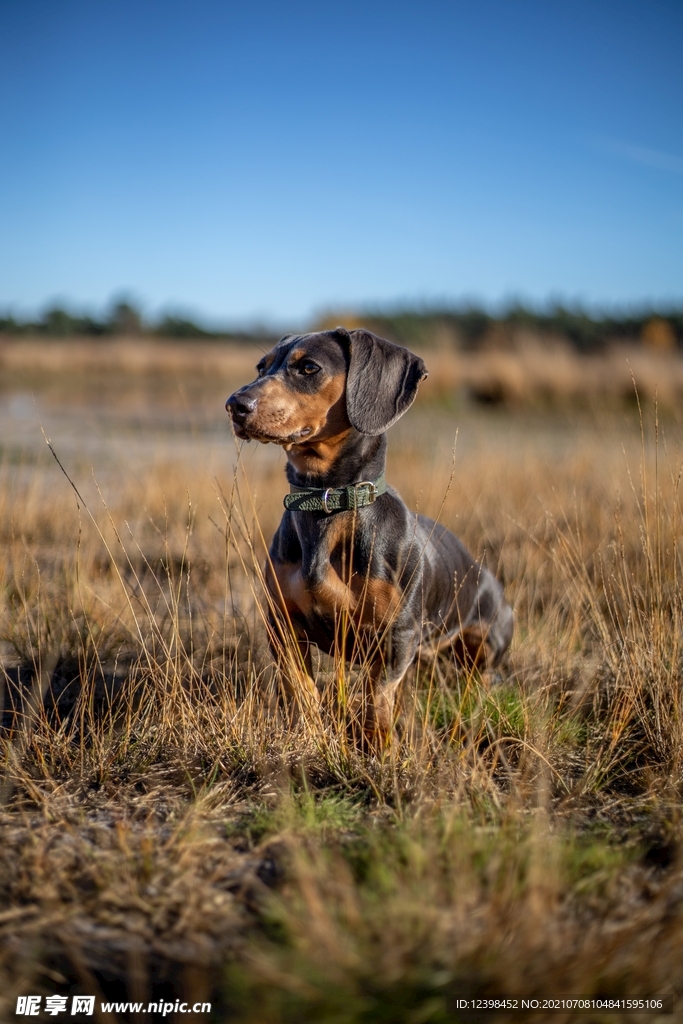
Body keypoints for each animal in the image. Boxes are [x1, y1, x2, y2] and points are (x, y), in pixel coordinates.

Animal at [225, 331, 511, 741]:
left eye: (308, 367)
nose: (235, 405)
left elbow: (375, 701)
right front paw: (311, 737)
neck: (328, 504)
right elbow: (302, 691)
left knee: (480, 678)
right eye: (261, 367)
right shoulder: (282, 625)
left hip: (485, 643)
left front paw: (378, 749)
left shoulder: (397, 637)